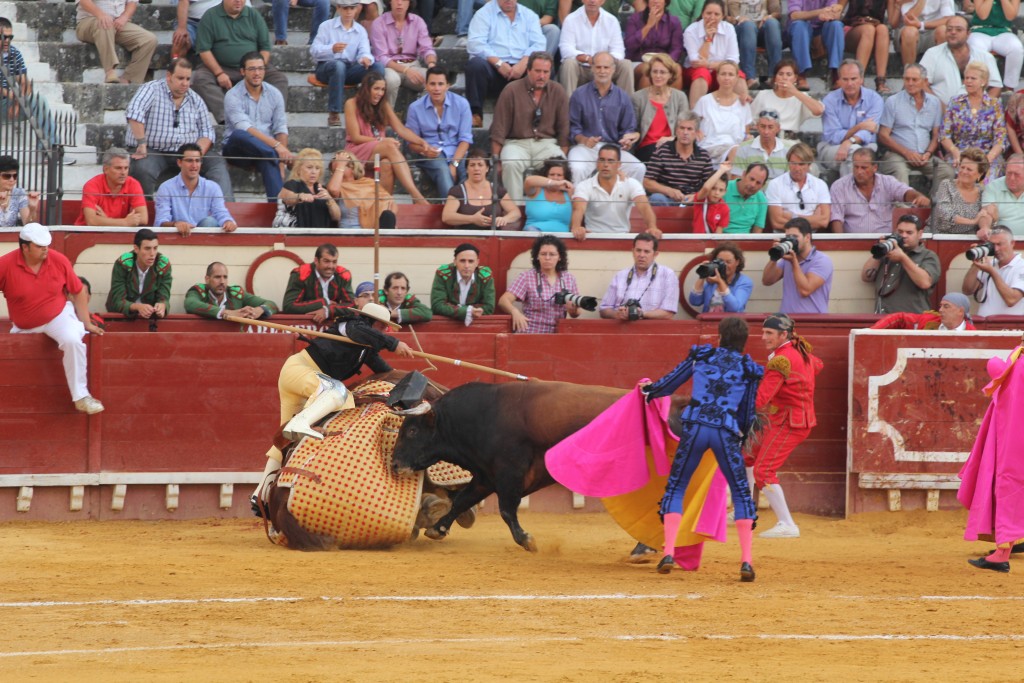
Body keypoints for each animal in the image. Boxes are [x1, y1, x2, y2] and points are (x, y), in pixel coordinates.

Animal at [391, 382, 688, 552]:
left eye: (413, 431)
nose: (394, 464)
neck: (483, 414)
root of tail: (678, 404)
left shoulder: (509, 471)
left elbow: (506, 509)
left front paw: (527, 540)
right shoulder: (486, 475)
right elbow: (462, 500)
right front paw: (438, 528)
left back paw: (647, 548)